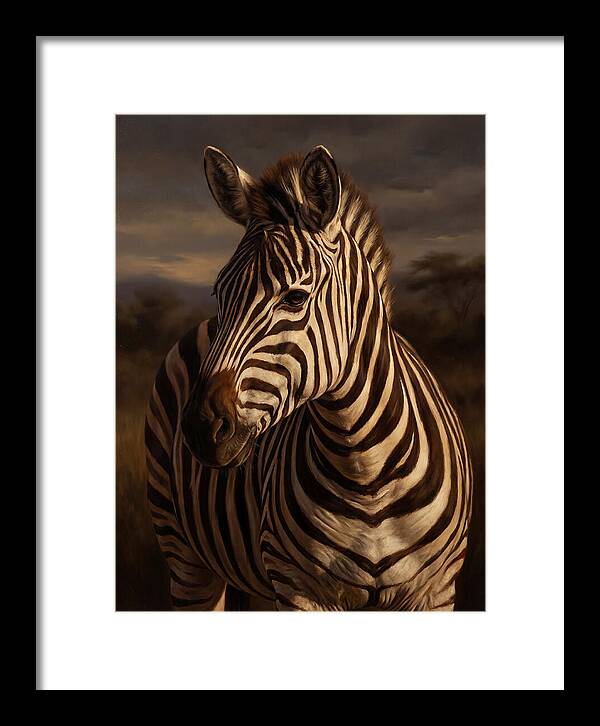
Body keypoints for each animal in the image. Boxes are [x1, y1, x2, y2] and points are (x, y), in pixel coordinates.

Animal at [144, 144, 473, 611]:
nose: (201, 427)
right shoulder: (299, 587)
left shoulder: (436, 590)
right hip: (184, 552)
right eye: (218, 293)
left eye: (296, 297)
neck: (365, 472)